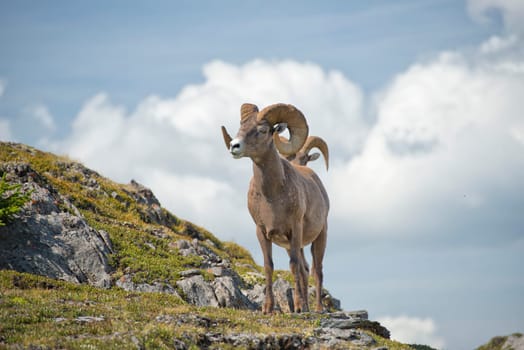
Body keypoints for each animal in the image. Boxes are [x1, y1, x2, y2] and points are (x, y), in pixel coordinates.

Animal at [220, 102, 328, 314]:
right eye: (241, 126)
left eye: (262, 130)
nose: (234, 146)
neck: (272, 196)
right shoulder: (262, 232)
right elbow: (269, 266)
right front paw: (268, 308)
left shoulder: (294, 229)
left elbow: (293, 266)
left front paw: (298, 308)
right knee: (305, 270)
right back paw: (307, 306)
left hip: (319, 237)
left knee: (317, 271)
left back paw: (317, 308)